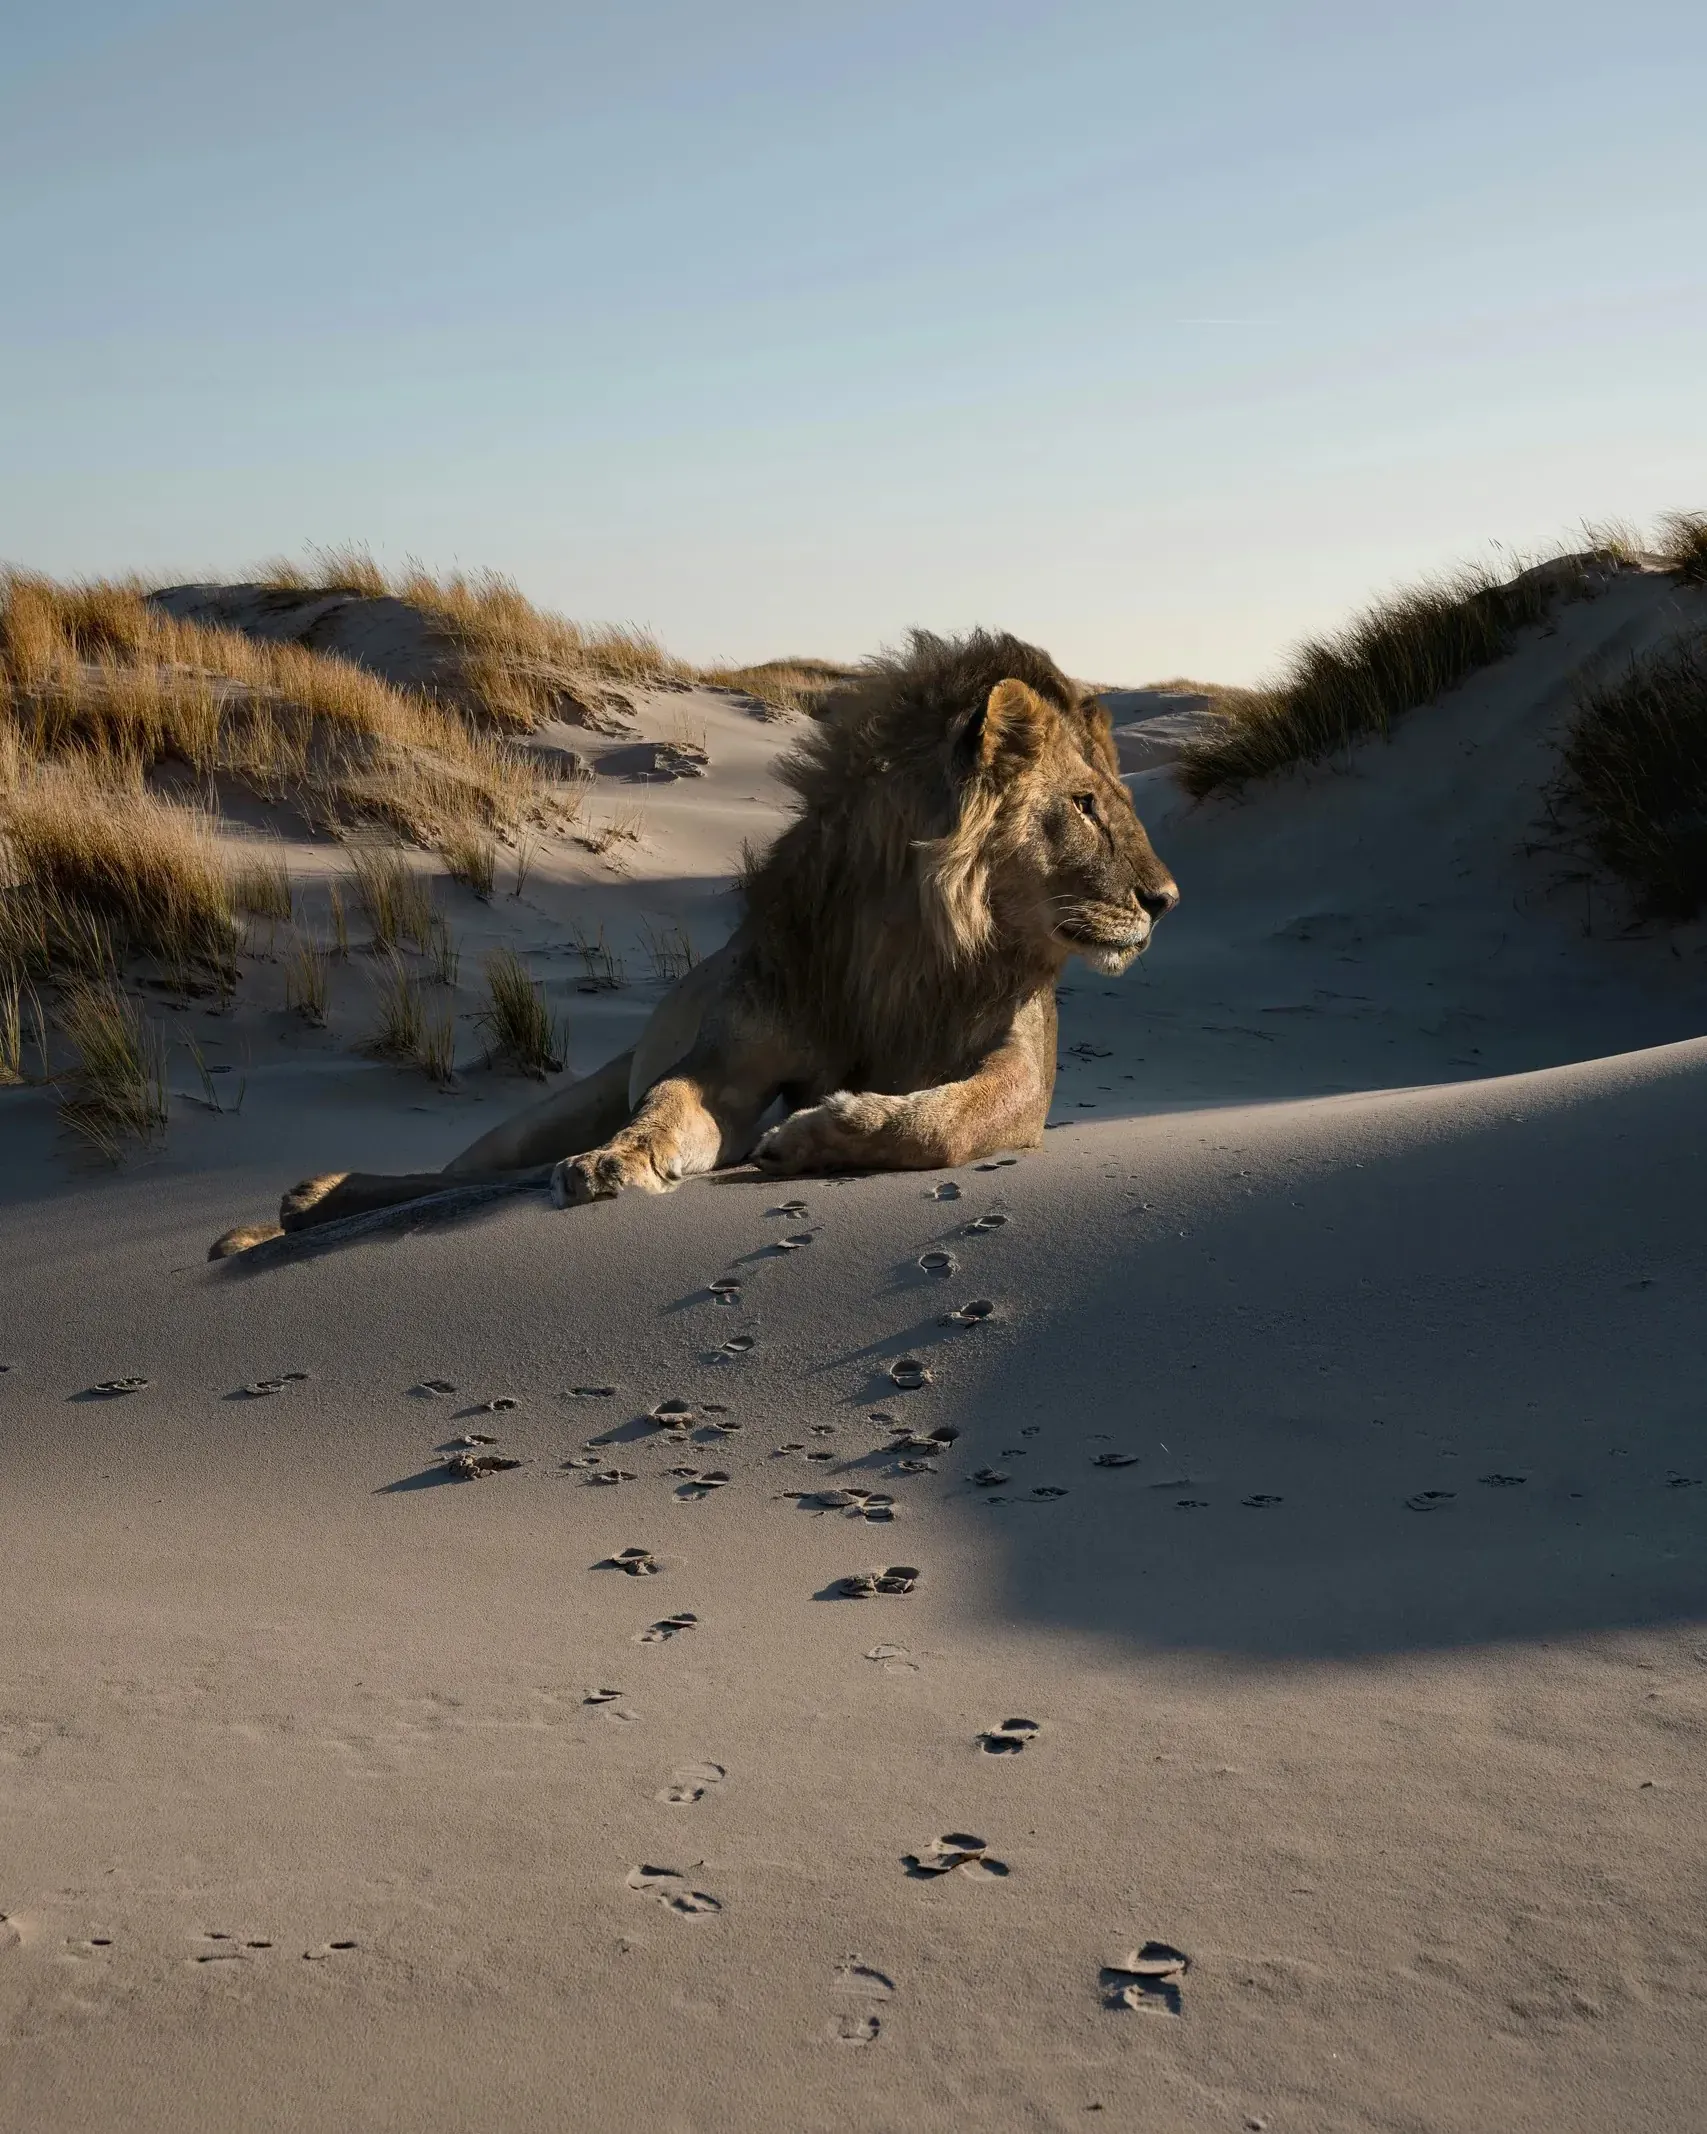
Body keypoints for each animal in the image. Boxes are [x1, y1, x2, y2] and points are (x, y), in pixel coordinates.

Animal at [211, 629, 1177, 1258]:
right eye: (1085, 804)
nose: (1165, 900)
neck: (914, 947)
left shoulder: (1024, 1074)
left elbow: (949, 1118)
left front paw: (820, 1131)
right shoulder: (732, 1057)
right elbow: (670, 1101)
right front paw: (619, 1160)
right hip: (545, 1114)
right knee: (457, 1175)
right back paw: (296, 1207)